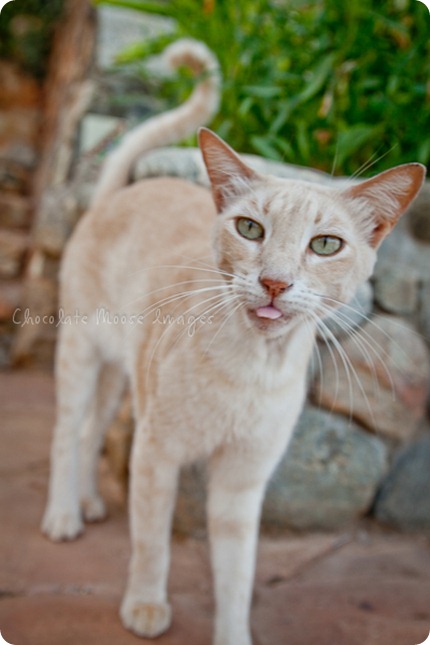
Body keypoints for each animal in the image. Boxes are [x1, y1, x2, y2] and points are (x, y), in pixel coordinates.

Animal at [41, 37, 426, 644]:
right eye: (250, 229)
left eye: (325, 244)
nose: (275, 282)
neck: (253, 367)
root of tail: (120, 192)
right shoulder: (156, 454)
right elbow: (151, 543)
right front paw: (145, 607)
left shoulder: (242, 485)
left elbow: (236, 578)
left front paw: (231, 635)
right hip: (81, 357)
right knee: (66, 433)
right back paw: (63, 516)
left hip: (121, 377)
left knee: (91, 431)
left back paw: (87, 500)